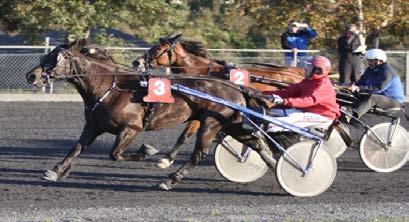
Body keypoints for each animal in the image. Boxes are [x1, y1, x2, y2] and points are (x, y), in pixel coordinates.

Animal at [25, 39, 278, 190]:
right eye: (45, 56)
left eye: (57, 58)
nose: (31, 76)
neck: (110, 87)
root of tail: (236, 87)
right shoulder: (93, 127)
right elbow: (76, 148)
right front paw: (55, 171)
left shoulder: (131, 129)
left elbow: (115, 154)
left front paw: (147, 151)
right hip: (230, 124)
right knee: (255, 141)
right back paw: (275, 164)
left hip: (211, 124)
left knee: (199, 153)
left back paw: (170, 180)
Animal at [132, 33, 304, 167]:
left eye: (157, 48)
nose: (136, 62)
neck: (204, 73)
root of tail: (298, 73)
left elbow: (184, 135)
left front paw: (167, 159)